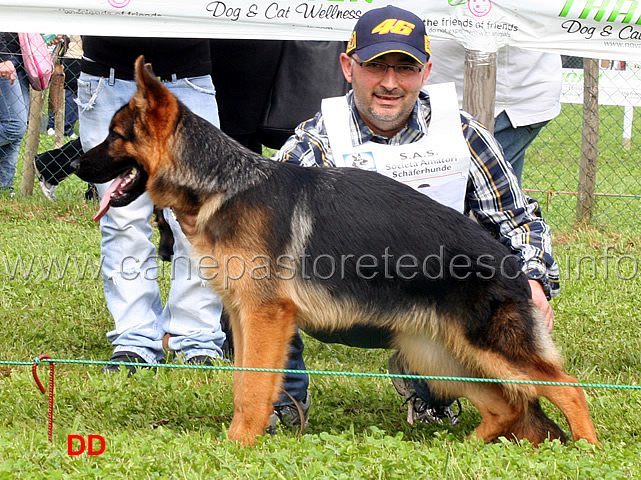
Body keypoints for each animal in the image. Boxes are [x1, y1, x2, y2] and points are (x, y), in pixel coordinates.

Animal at [72, 56, 596, 446]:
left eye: (115, 136)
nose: (75, 164)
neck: (223, 183)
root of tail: (514, 266)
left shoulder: (265, 317)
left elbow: (254, 387)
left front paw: (238, 444)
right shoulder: (244, 317)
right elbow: (246, 383)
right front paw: (246, 437)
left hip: (485, 348)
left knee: (567, 389)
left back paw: (586, 450)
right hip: (441, 355)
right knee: (508, 405)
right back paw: (470, 448)